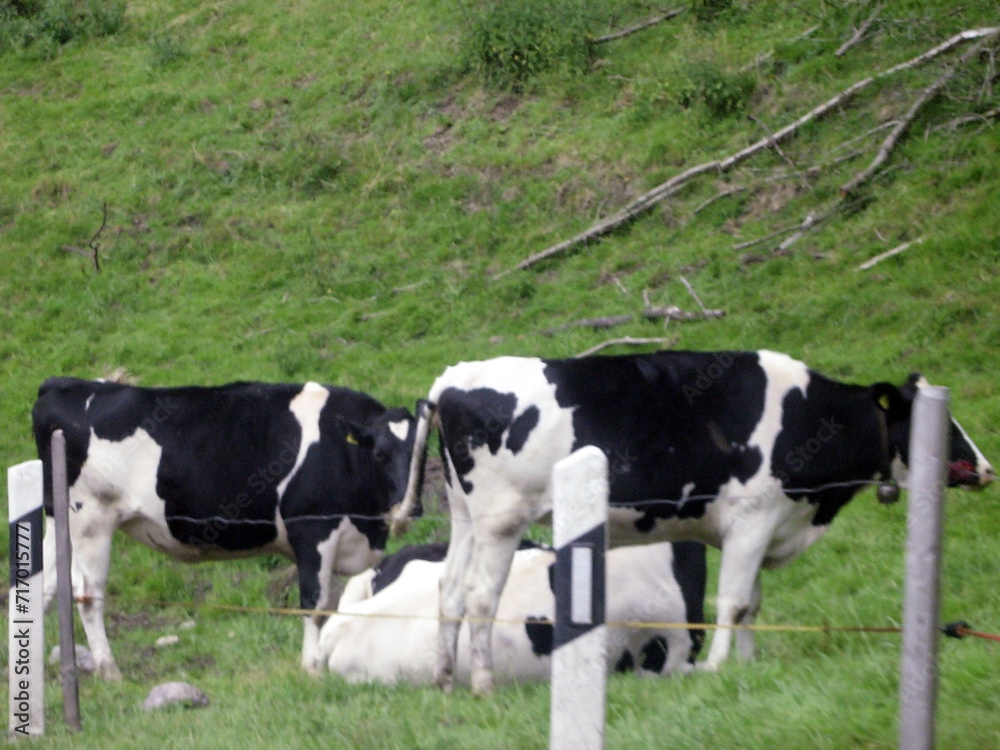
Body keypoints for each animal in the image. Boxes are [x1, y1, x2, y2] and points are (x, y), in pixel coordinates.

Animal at [31, 376, 419, 680]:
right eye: (380, 454)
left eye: (423, 449)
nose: (411, 506)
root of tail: (62, 384)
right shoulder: (312, 529)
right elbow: (315, 601)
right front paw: (312, 666)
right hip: (90, 519)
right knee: (87, 595)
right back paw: (110, 671)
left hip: (59, 519)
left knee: (45, 587)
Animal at [388, 350, 995, 695]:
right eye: (938, 423)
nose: (987, 469)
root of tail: (454, 379)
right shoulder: (753, 518)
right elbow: (732, 601)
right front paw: (720, 667)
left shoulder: (763, 527)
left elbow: (751, 604)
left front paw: (748, 665)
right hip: (500, 519)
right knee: (480, 597)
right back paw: (483, 683)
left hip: (466, 519)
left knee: (449, 590)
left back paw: (445, 679)